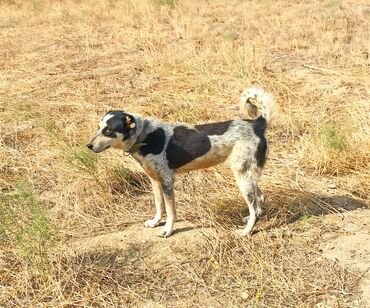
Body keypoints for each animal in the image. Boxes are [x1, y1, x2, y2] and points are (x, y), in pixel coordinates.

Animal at [87, 88, 278, 237]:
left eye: (108, 130)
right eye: (98, 127)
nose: (88, 146)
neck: (144, 136)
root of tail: (257, 124)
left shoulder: (167, 181)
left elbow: (171, 211)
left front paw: (167, 230)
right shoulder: (155, 180)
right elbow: (159, 205)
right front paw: (156, 222)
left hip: (243, 177)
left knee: (254, 206)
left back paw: (246, 231)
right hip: (248, 174)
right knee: (259, 199)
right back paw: (249, 218)